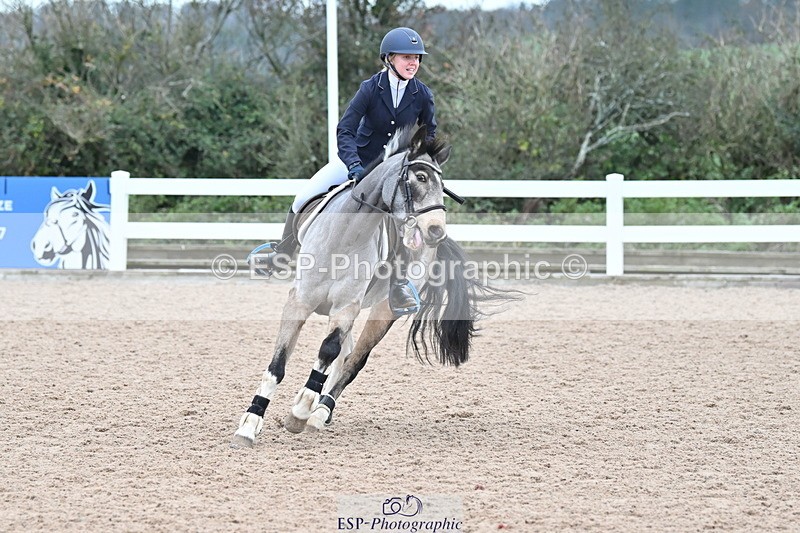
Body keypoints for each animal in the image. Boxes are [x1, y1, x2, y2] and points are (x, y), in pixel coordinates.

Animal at [232, 126, 512, 448]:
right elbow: (278, 364)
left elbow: (328, 351)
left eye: (442, 185)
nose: (436, 231)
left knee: (353, 361)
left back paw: (319, 413)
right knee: (345, 356)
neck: (345, 236)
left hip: (383, 311)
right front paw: (249, 425)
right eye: (420, 177)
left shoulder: (346, 308)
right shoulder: (299, 302)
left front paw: (300, 412)